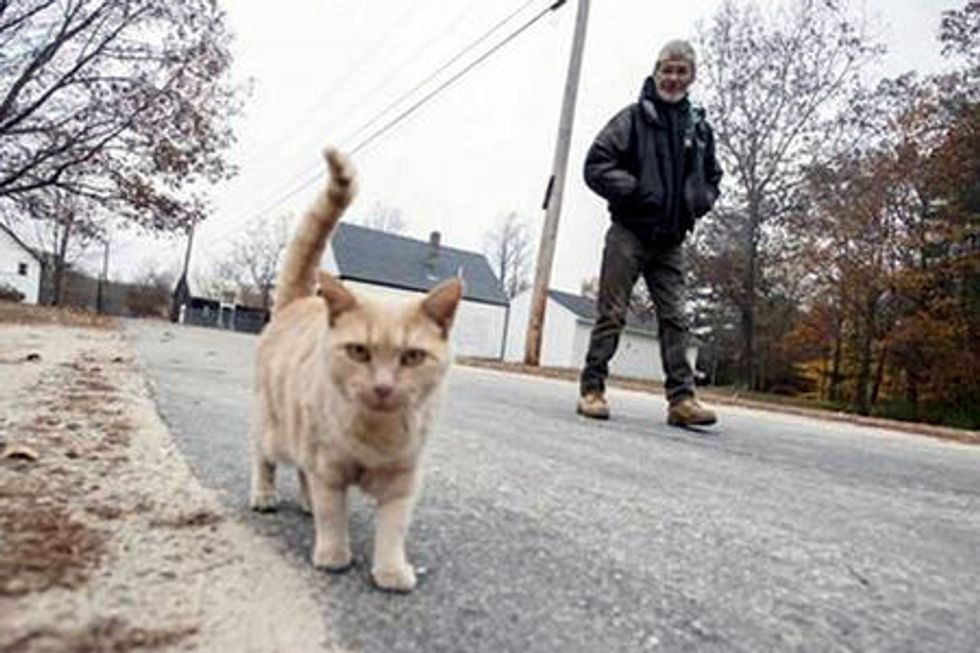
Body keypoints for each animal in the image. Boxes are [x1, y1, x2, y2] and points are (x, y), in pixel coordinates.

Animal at [249, 148, 464, 592]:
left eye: (412, 357)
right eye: (359, 352)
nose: (382, 386)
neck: (376, 436)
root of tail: (300, 301)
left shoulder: (403, 479)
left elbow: (393, 528)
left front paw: (391, 570)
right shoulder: (328, 466)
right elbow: (334, 515)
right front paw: (333, 555)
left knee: (301, 474)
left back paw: (305, 503)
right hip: (274, 428)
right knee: (263, 458)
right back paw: (264, 495)